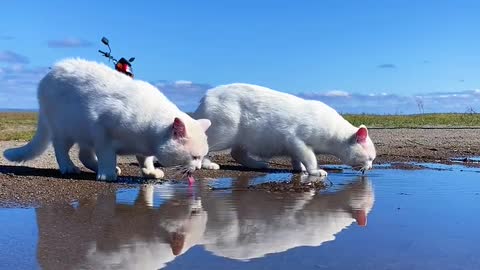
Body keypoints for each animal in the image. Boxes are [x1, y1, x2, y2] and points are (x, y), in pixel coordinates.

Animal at [3, 59, 210, 181]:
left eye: (201, 157)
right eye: (194, 157)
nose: (199, 167)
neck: (148, 136)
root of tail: (47, 76)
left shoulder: (144, 146)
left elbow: (145, 159)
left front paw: (150, 172)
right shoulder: (102, 130)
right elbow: (107, 154)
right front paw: (107, 174)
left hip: (82, 132)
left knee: (84, 155)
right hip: (66, 129)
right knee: (61, 149)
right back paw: (70, 167)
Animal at [193, 83, 376, 176]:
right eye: (370, 158)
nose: (370, 167)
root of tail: (206, 96)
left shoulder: (294, 146)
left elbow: (297, 158)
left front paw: (299, 169)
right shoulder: (297, 140)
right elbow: (310, 158)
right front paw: (314, 171)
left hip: (245, 138)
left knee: (236, 153)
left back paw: (257, 164)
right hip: (225, 132)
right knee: (207, 147)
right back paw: (207, 164)